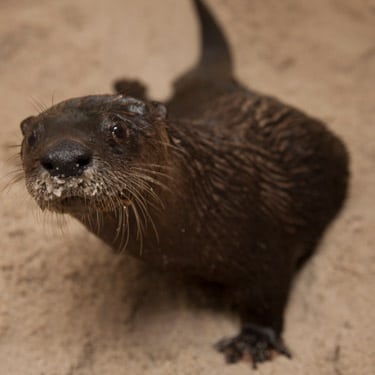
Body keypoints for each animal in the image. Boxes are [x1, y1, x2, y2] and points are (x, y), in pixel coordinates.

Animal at [19, 0, 350, 370]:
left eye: (118, 129)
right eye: (33, 137)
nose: (64, 158)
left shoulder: (269, 242)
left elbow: (267, 293)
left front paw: (254, 340)